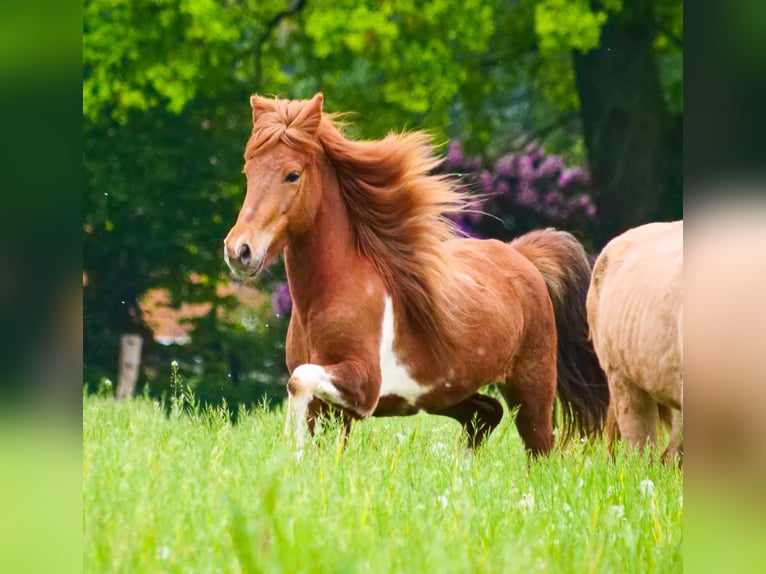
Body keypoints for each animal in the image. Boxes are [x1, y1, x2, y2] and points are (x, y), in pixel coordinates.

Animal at [225, 94, 608, 456]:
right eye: (247, 172)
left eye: (292, 174)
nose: (239, 251)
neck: (331, 294)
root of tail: (524, 257)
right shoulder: (331, 408)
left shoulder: (363, 386)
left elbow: (298, 381)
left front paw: (291, 446)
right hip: (446, 394)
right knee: (486, 413)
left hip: (531, 388)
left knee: (539, 449)